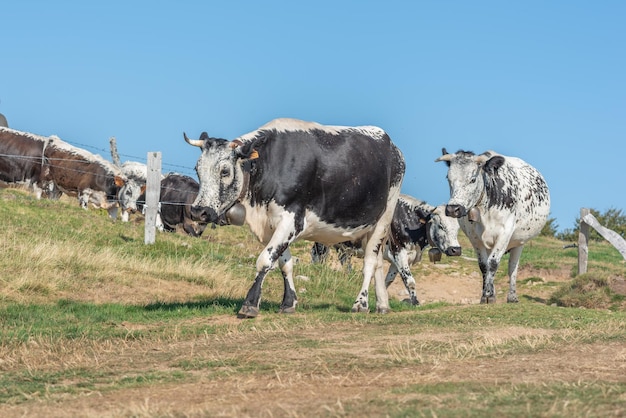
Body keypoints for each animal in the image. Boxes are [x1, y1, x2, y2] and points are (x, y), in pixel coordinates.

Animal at [183, 117, 404, 316]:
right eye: (197, 169)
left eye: (225, 171)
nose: (199, 211)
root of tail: (393, 147)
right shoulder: (271, 225)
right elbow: (284, 263)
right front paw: (288, 302)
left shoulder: (292, 220)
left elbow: (265, 260)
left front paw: (250, 303)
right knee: (377, 262)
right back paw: (382, 305)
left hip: (383, 218)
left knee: (369, 262)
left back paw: (361, 303)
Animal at [310, 194, 460, 306]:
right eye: (441, 226)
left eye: (458, 228)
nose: (456, 250)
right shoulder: (399, 252)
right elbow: (410, 281)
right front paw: (416, 303)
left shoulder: (399, 259)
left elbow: (388, 280)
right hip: (322, 239)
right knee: (317, 254)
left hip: (343, 246)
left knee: (344, 260)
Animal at [432, 149, 548, 304]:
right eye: (448, 178)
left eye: (473, 179)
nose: (453, 209)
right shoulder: (474, 238)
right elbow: (484, 266)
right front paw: (486, 295)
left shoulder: (505, 233)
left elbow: (493, 263)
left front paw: (489, 295)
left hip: (520, 241)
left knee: (512, 267)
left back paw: (512, 296)